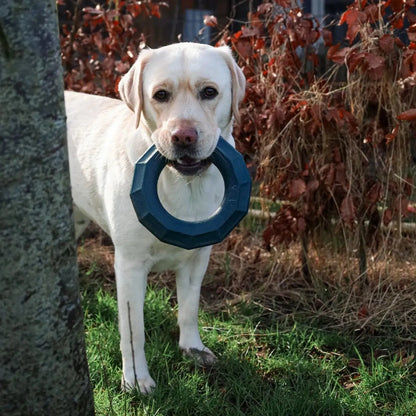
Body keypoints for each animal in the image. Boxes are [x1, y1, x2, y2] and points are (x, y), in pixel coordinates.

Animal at [65, 43, 245, 394]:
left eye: (209, 92)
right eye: (160, 95)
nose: (184, 137)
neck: (182, 185)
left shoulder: (198, 258)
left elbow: (189, 308)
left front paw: (193, 348)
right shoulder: (130, 265)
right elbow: (133, 330)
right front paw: (136, 379)